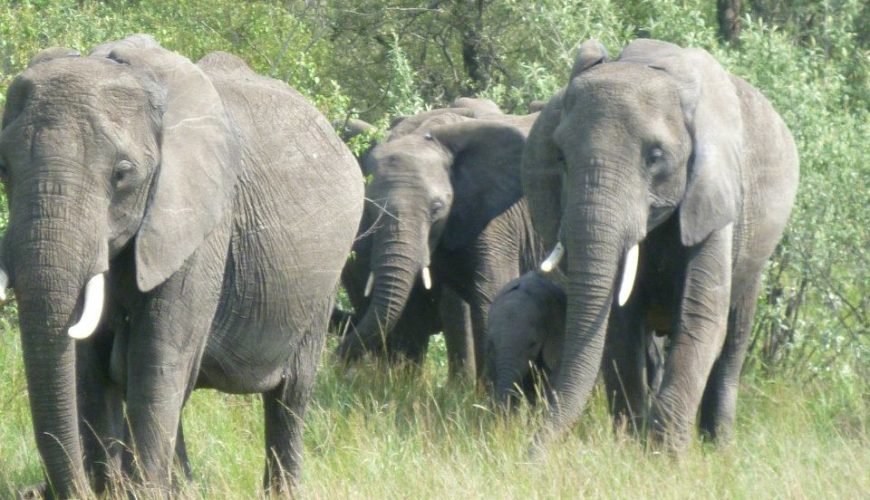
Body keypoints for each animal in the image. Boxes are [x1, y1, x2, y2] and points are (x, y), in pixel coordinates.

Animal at [0, 35, 363, 498]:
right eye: (3, 169)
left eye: (122, 174)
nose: (51, 489)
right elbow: (91, 365)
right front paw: (115, 489)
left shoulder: (201, 222)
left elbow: (158, 360)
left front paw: (140, 492)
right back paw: (184, 485)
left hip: (323, 283)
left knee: (290, 397)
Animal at [336, 103, 545, 380]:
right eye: (369, 209)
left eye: (437, 208)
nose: (337, 358)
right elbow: (412, 309)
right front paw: (401, 384)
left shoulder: (496, 221)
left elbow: (489, 295)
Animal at [522, 39, 799, 452]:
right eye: (560, 157)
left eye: (655, 158)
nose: (530, 454)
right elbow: (619, 328)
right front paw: (629, 448)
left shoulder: (715, 194)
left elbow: (701, 319)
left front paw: (664, 456)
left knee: (733, 340)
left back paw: (718, 448)